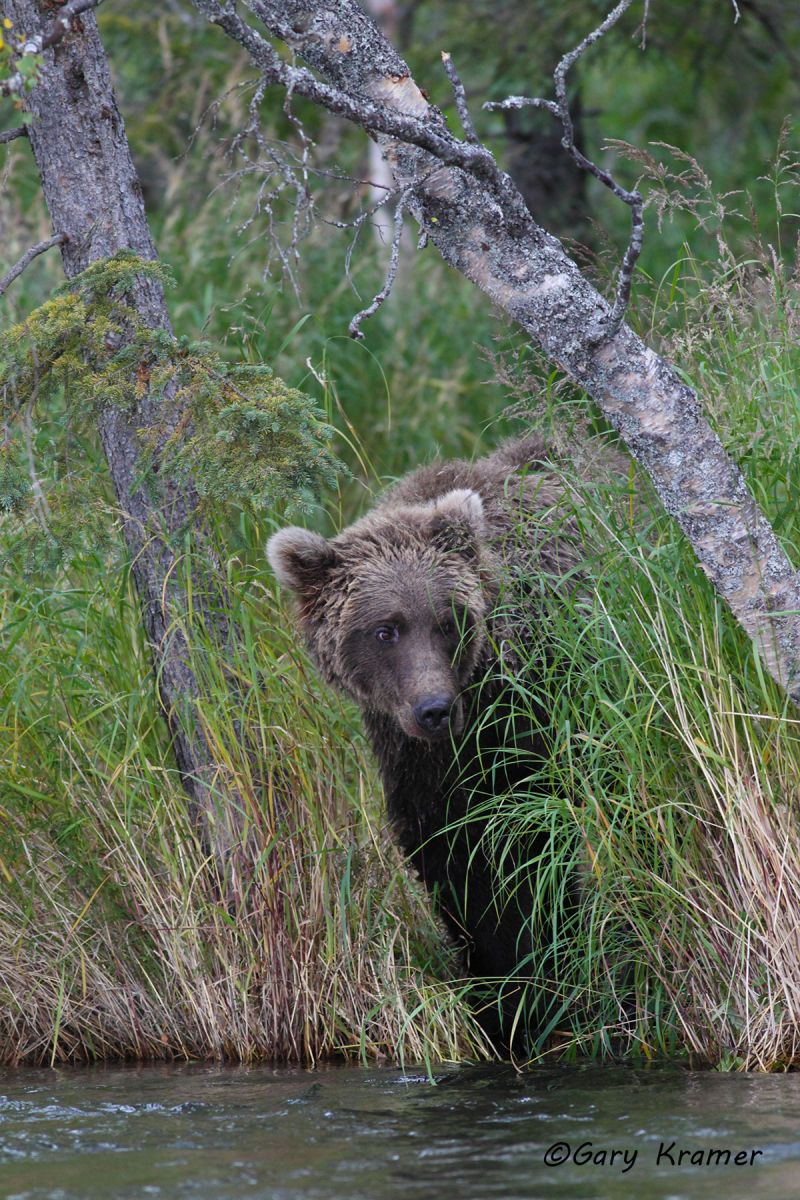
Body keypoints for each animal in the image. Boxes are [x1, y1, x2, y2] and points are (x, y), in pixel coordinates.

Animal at [267, 435, 581, 1047]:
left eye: (447, 621)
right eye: (385, 629)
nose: (434, 710)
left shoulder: (529, 722)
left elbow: (543, 847)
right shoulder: (416, 765)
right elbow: (457, 867)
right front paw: (504, 996)